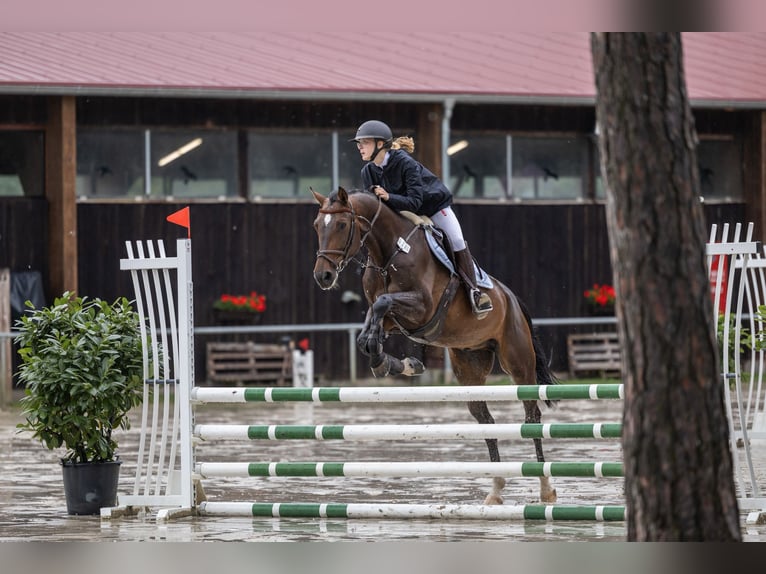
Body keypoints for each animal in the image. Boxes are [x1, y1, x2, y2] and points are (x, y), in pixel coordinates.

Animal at [311, 186, 558, 505]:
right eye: (317, 226)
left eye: (342, 225)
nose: (323, 276)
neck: (388, 253)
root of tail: (512, 298)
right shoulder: (395, 320)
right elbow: (370, 328)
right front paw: (395, 363)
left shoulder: (422, 308)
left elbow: (382, 303)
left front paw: (392, 361)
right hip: (470, 365)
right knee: (486, 420)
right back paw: (495, 490)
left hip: (518, 362)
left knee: (532, 416)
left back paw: (545, 488)